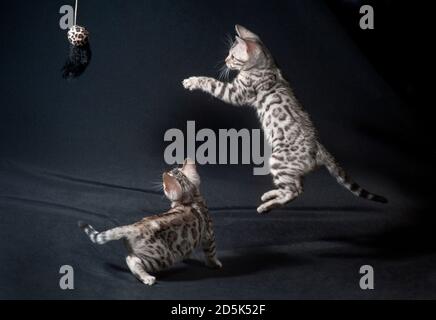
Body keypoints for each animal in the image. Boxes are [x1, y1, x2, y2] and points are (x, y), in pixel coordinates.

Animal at [77, 159, 221, 286]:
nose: (163, 181)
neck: (191, 200)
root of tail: (132, 227)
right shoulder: (209, 234)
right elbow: (211, 252)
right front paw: (215, 264)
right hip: (163, 257)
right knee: (131, 260)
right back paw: (147, 278)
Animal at [182, 25, 386, 214]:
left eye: (232, 56)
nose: (225, 60)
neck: (267, 65)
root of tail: (319, 147)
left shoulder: (236, 93)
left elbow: (211, 82)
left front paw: (192, 81)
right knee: (297, 187)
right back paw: (271, 195)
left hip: (278, 160)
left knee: (294, 191)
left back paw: (267, 205)